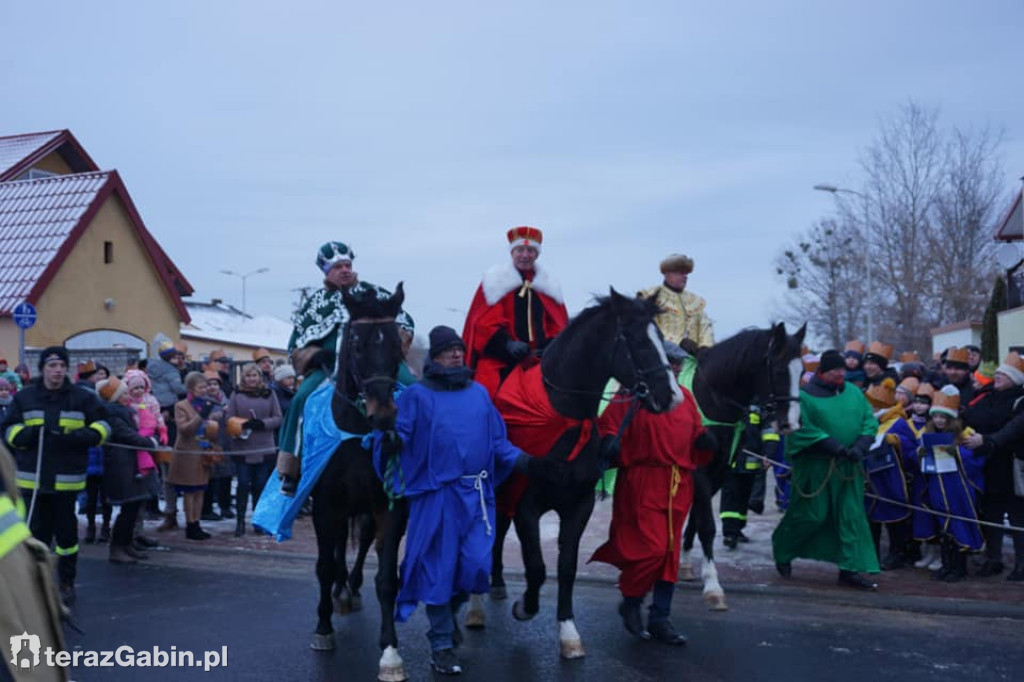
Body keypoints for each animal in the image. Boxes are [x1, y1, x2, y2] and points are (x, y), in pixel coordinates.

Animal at [303, 280, 411, 679]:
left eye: (396, 344)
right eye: (357, 345)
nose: (384, 415)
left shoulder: (388, 506)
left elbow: (388, 578)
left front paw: (391, 652)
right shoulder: (326, 505)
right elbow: (322, 566)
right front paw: (323, 629)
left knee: (361, 544)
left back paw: (351, 586)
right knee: (335, 550)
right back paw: (340, 591)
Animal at [475, 288, 684, 655]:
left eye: (660, 336)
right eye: (635, 339)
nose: (670, 396)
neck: (564, 417)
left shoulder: (579, 505)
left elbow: (567, 566)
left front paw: (568, 631)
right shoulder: (527, 506)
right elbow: (537, 567)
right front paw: (526, 607)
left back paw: (497, 582)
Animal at [679, 321, 806, 606]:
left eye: (802, 371)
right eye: (779, 370)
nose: (790, 423)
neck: (711, 400)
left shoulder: (718, 472)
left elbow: (695, 519)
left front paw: (685, 564)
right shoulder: (699, 471)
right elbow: (707, 526)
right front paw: (713, 585)